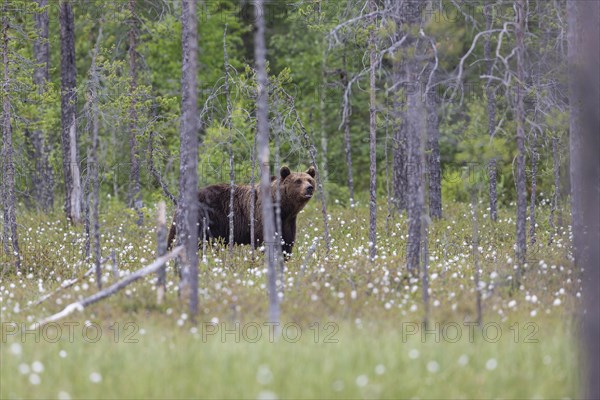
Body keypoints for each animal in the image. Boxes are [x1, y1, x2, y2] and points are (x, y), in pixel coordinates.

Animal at [166, 165, 316, 256]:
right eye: (298, 181)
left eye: (309, 179)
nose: (309, 188)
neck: (283, 209)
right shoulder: (261, 217)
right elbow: (264, 242)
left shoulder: (288, 222)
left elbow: (287, 242)